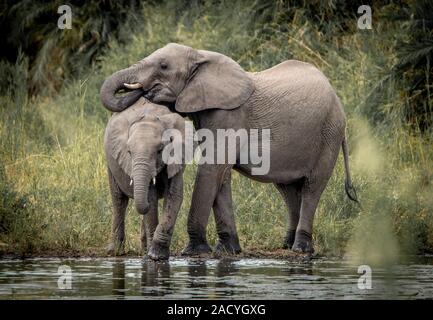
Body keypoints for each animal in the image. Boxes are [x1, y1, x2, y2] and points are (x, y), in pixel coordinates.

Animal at [104, 98, 187, 260]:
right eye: (129, 152)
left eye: (160, 150)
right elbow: (151, 198)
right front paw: (153, 256)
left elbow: (174, 196)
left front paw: (156, 255)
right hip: (110, 163)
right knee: (119, 201)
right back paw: (115, 252)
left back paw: (143, 250)